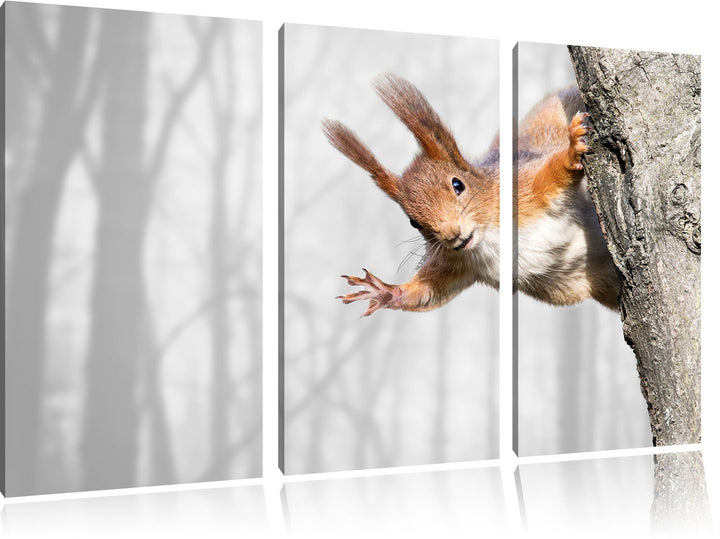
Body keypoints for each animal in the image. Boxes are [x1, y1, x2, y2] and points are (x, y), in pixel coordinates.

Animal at [322, 74, 619, 317]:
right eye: (413, 222)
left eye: (458, 185)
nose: (452, 234)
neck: (489, 235)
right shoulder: (457, 263)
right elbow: (428, 291)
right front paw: (384, 291)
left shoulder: (525, 189)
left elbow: (552, 172)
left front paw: (572, 150)